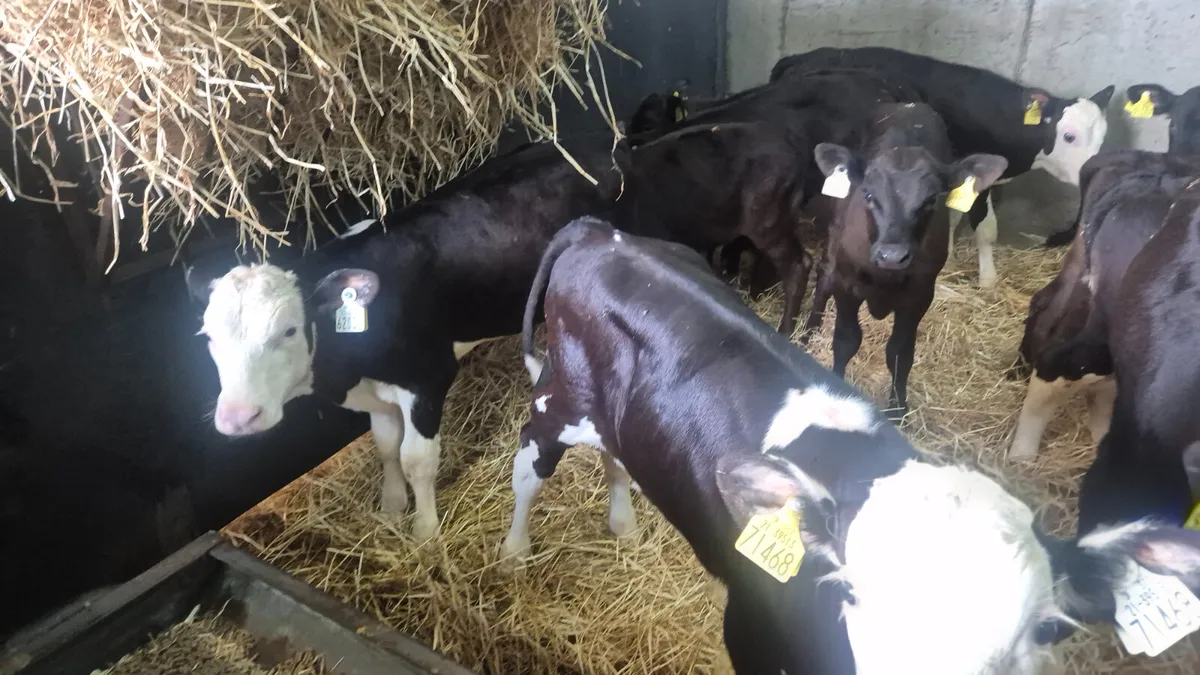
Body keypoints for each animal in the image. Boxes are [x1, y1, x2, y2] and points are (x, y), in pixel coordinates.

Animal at [183, 138, 625, 539]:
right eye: (208, 337)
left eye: (289, 329)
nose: (238, 417)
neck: (348, 370)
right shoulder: (378, 393)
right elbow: (385, 446)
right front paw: (391, 506)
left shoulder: (427, 379)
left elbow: (416, 459)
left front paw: (425, 531)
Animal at [499, 216, 1200, 675]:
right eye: (854, 595)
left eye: (1044, 629)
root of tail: (601, 231)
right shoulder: (749, 627)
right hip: (560, 401)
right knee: (529, 458)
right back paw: (513, 552)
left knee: (617, 452)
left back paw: (622, 521)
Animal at [771, 46, 1114, 288]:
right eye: (1069, 136)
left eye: (1103, 135)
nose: (1094, 170)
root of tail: (798, 57)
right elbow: (982, 227)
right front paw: (985, 280)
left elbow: (956, 218)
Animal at [801, 102, 1008, 419]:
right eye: (868, 194)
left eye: (931, 200)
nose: (893, 256)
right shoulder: (847, 284)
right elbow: (846, 340)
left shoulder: (920, 295)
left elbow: (900, 353)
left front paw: (898, 409)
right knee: (824, 277)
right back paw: (809, 330)